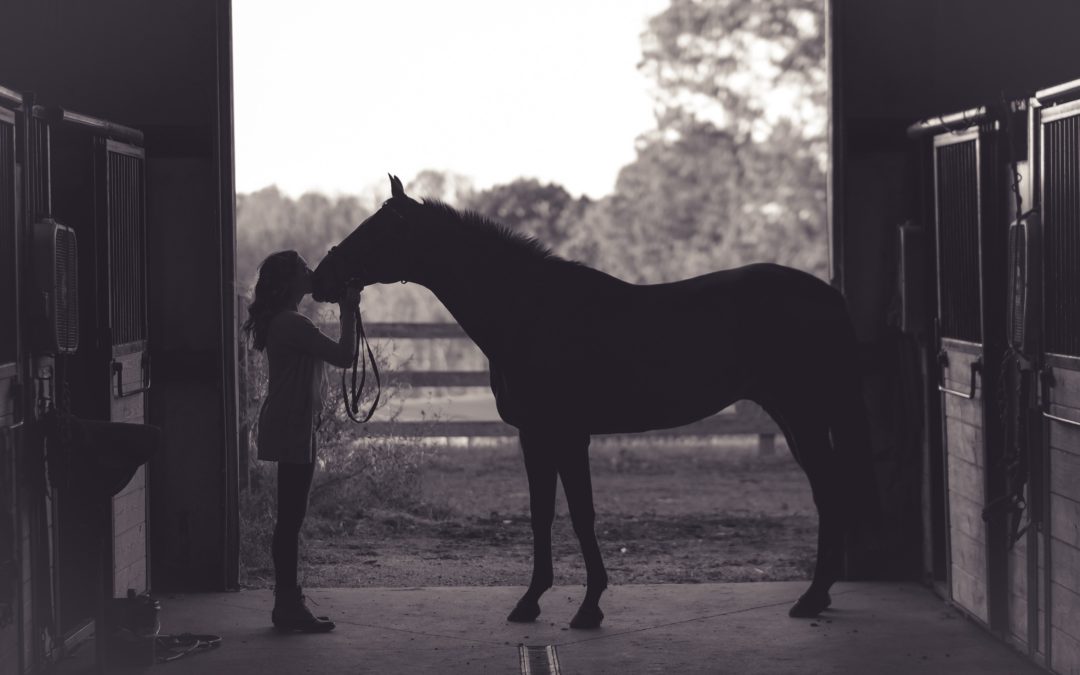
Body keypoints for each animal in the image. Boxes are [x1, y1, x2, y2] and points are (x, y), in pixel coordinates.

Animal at [311, 172, 876, 626]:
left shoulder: (567, 434)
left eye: (376, 230)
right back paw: (818, 596)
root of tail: (828, 295)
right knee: (828, 491)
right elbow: (541, 513)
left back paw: (812, 598)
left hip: (804, 415)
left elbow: (581, 514)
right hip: (793, 415)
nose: (320, 279)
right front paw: (531, 602)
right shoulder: (534, 436)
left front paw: (588, 607)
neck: (530, 312)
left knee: (830, 492)